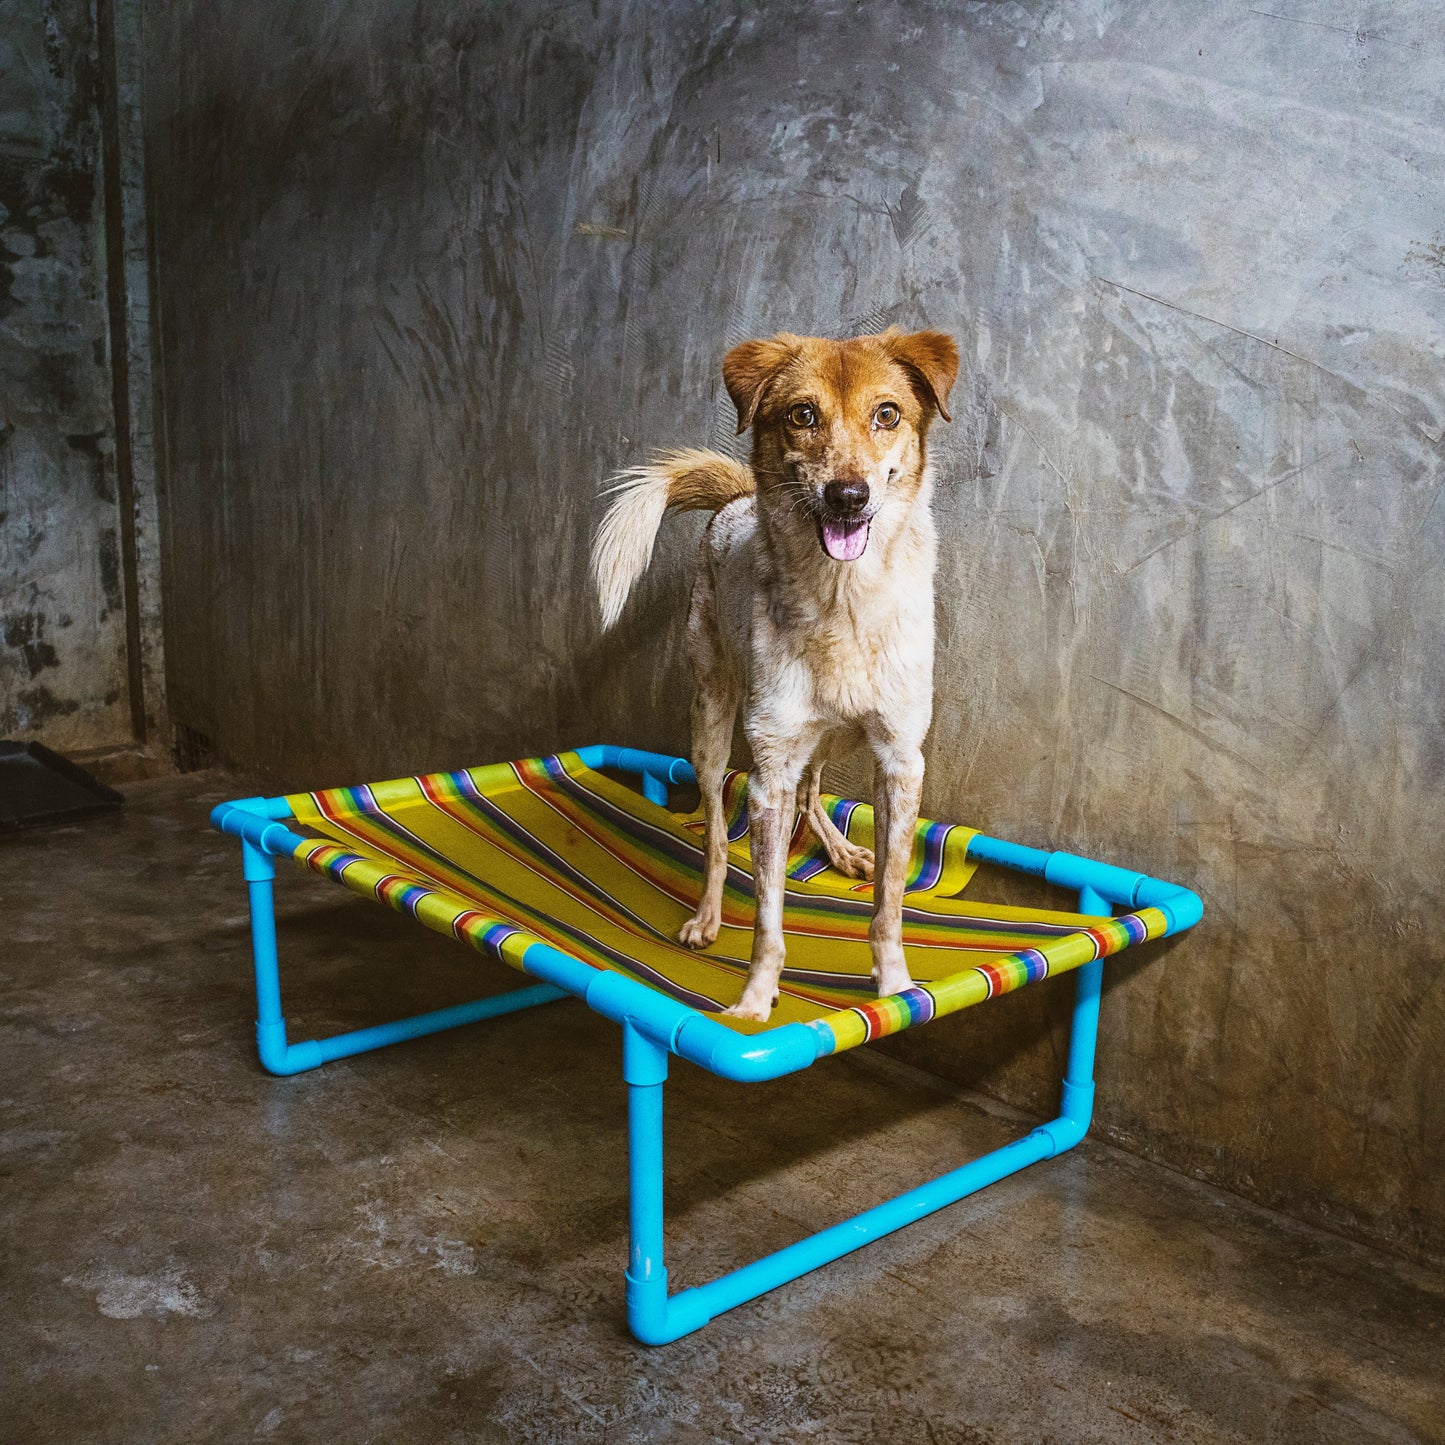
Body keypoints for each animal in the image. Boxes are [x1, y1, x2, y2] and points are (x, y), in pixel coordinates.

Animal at [592, 328, 953, 1028]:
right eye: (802, 415)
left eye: (887, 414)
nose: (848, 496)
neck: (844, 600)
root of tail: (735, 502)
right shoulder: (767, 774)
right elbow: (767, 911)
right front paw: (757, 996)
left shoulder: (900, 761)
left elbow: (891, 902)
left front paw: (895, 983)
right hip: (712, 721)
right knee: (716, 831)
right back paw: (706, 916)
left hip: (828, 741)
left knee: (813, 792)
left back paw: (841, 851)